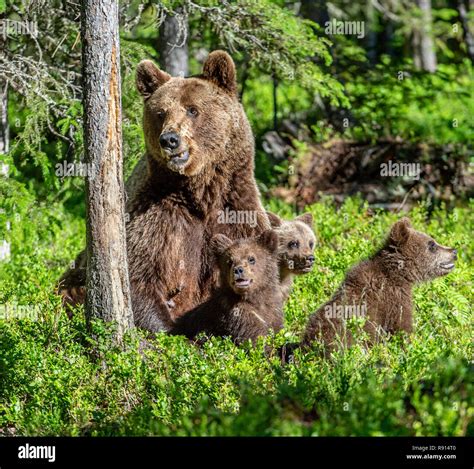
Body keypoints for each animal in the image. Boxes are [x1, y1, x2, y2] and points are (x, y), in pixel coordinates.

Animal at [58, 50, 270, 330]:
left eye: (193, 110)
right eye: (160, 113)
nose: (170, 140)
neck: (201, 195)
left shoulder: (236, 211)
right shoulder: (159, 216)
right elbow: (139, 276)